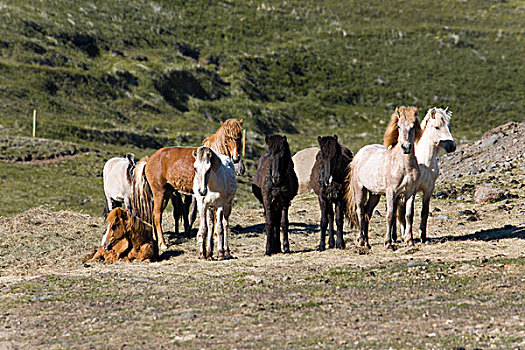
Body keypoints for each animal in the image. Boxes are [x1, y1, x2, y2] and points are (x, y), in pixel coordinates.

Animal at [133, 119, 244, 250]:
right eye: (227, 137)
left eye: (240, 136)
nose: (236, 157)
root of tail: (149, 160)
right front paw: (211, 236)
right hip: (159, 193)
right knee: (157, 214)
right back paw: (162, 243)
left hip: (167, 193)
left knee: (155, 215)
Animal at [344, 106, 422, 249]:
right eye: (398, 126)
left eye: (413, 125)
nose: (406, 147)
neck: (405, 166)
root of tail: (358, 154)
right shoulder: (391, 192)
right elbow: (390, 216)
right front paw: (388, 243)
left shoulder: (411, 193)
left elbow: (409, 215)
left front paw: (410, 241)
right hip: (360, 190)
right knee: (360, 212)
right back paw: (361, 240)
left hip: (375, 194)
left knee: (367, 213)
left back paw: (367, 243)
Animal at [396, 107, 456, 243]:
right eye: (437, 127)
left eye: (449, 126)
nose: (452, 146)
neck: (425, 162)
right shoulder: (412, 190)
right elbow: (410, 214)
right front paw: (409, 237)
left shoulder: (429, 189)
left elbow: (424, 212)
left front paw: (422, 236)